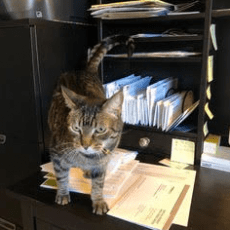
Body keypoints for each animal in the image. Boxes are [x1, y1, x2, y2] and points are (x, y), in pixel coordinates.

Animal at [48, 35, 135, 215]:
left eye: (100, 130)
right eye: (76, 128)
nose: (85, 145)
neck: (86, 158)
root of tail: (85, 70)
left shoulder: (103, 162)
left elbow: (99, 184)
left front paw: (98, 200)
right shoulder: (56, 153)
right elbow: (61, 176)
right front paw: (62, 193)